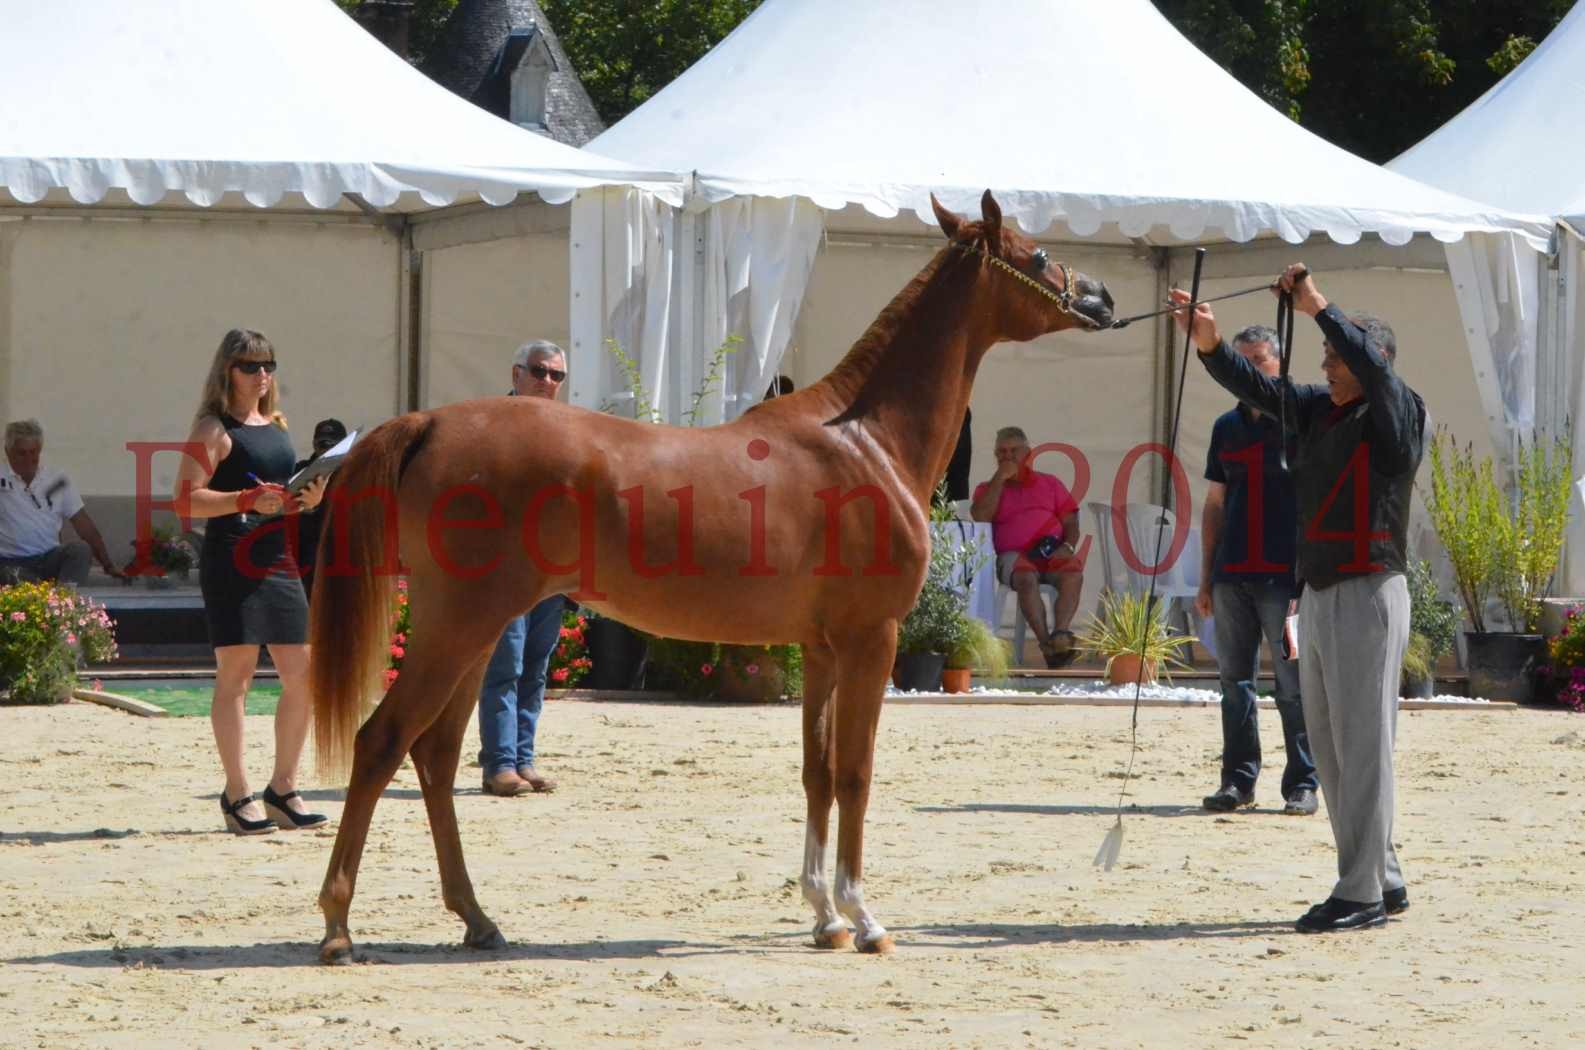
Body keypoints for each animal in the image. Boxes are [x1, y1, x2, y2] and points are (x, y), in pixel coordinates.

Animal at [309, 193, 1115, 964]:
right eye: (1034, 255)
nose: (1101, 298)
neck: (866, 442)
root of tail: (429, 422)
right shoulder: (872, 639)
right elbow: (855, 773)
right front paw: (864, 919)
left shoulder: (822, 649)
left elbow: (817, 771)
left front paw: (824, 918)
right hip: (459, 626)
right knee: (381, 742)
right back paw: (339, 929)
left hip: (471, 632)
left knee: (435, 756)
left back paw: (477, 919)